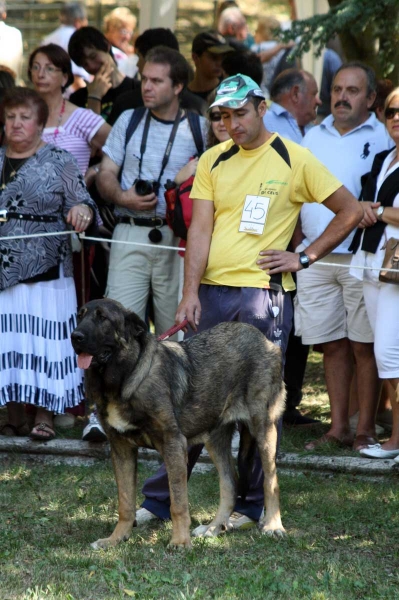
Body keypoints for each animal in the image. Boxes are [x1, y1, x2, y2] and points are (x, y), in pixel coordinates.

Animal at [70, 298, 286, 552]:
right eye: (80, 315)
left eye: (102, 317)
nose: (75, 336)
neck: (125, 378)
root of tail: (266, 342)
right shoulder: (121, 449)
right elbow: (125, 503)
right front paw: (116, 539)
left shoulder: (173, 443)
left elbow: (178, 502)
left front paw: (180, 541)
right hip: (216, 437)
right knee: (230, 484)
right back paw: (213, 528)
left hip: (263, 429)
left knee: (271, 482)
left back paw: (273, 526)